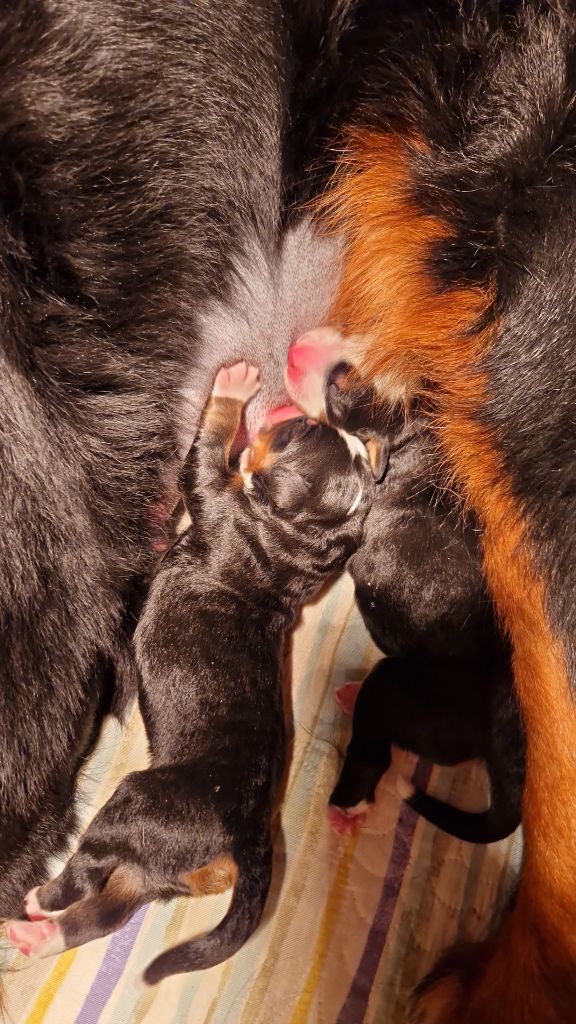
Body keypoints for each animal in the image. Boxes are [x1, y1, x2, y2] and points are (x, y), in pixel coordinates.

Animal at [5, 362, 381, 983]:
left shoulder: (214, 497)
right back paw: (41, 938)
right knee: (106, 911)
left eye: (297, 431)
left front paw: (233, 386)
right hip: (156, 864)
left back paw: (38, 905)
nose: (292, 408)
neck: (293, 544)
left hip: (138, 806)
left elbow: (207, 449)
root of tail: (246, 839)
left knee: (86, 871)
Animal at [284, 331, 522, 843]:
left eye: (337, 393)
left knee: (373, 749)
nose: (295, 350)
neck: (416, 432)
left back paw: (347, 805)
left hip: (406, 696)